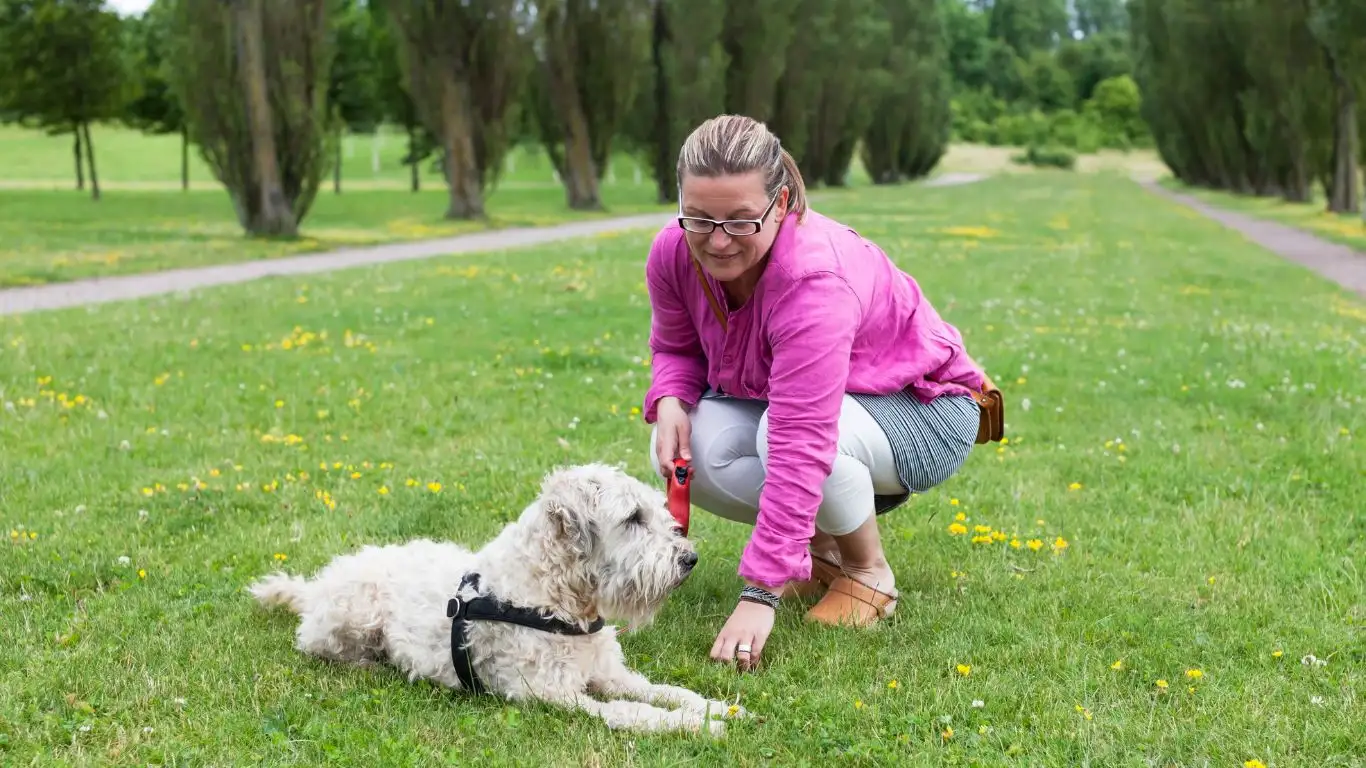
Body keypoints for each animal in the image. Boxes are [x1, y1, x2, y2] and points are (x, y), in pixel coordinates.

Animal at [245, 456, 748, 732]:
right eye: (632, 518)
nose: (689, 559)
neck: (554, 597)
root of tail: (317, 587)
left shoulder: (610, 673)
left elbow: (665, 690)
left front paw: (716, 708)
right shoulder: (553, 695)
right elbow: (631, 713)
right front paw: (695, 727)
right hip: (351, 618)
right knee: (317, 646)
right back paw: (371, 663)